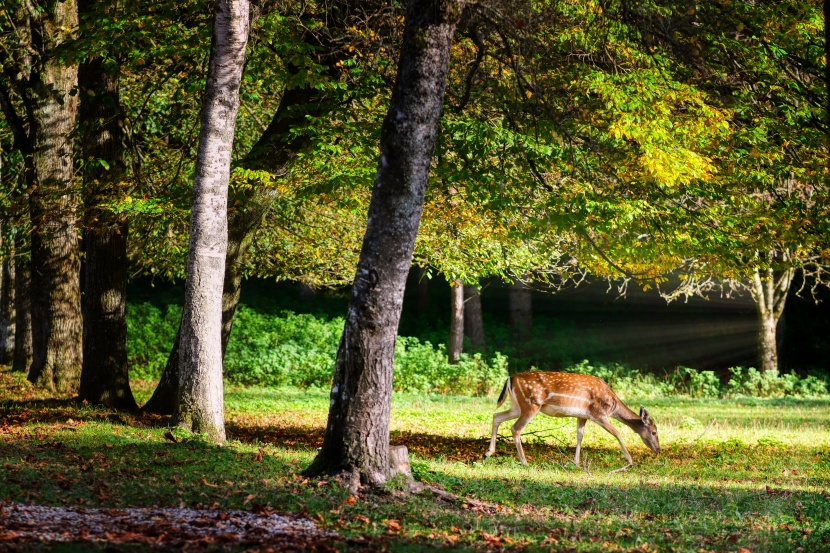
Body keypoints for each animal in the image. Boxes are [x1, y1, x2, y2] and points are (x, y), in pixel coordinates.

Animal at [484, 370, 660, 470]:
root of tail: (510, 378)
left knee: (496, 416)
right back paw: (524, 462)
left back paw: (489, 452)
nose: (658, 450)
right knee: (515, 428)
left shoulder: (582, 416)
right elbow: (617, 432)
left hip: (517, 406)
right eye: (654, 432)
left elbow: (579, 436)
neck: (612, 405)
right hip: (531, 404)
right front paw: (629, 462)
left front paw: (576, 463)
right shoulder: (598, 414)